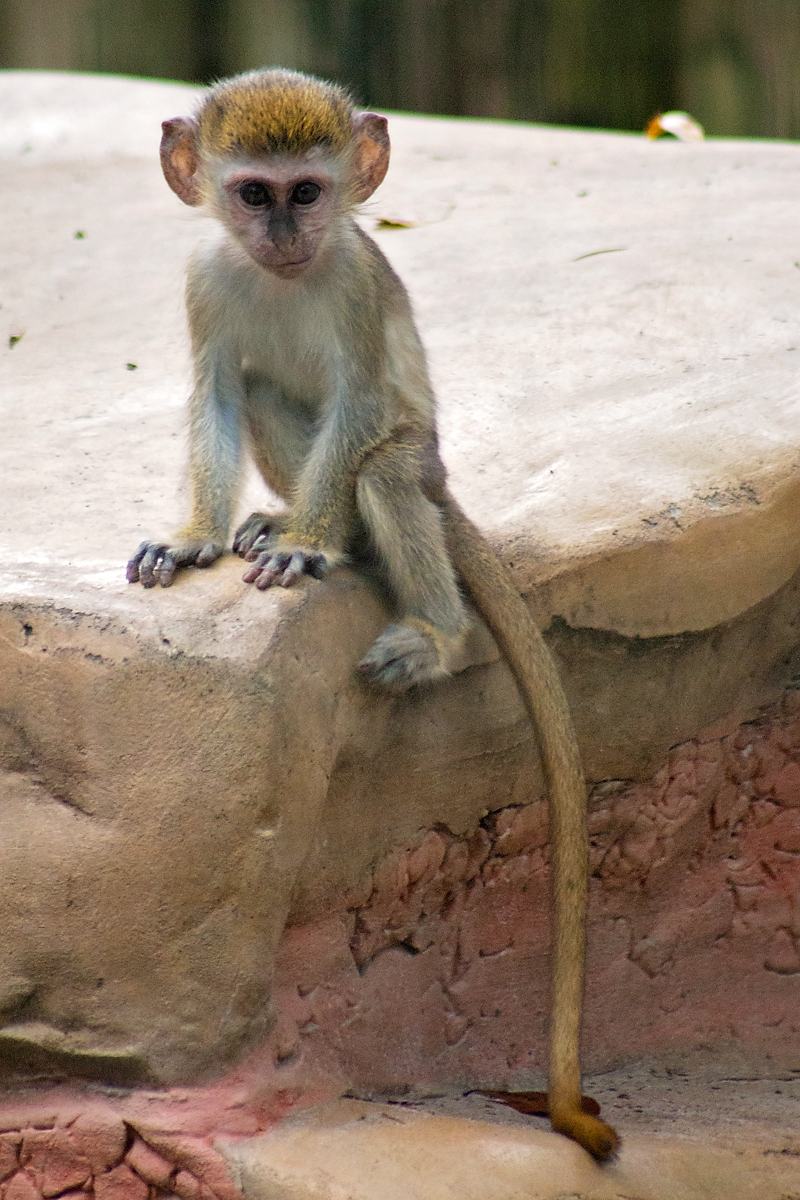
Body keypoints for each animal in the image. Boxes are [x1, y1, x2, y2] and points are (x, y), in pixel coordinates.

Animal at [126, 68, 619, 1162]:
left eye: (308, 194)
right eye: (254, 194)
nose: (283, 236)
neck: (284, 278)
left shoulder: (350, 283)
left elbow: (355, 401)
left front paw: (308, 544)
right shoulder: (203, 278)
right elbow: (217, 393)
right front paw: (194, 535)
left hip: (418, 461)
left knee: (385, 467)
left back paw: (413, 612)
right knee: (260, 386)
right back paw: (292, 531)